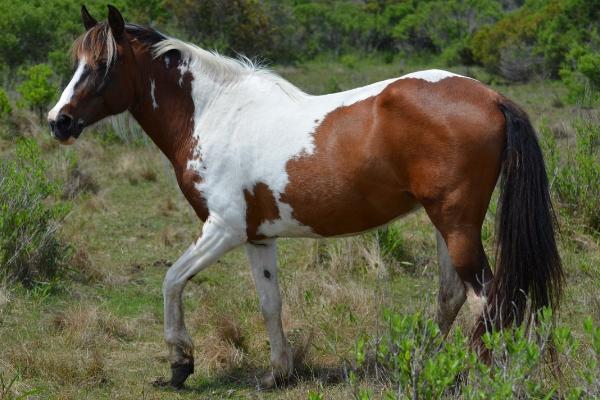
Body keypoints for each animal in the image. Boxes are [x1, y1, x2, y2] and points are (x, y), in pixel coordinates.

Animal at [48, 4, 564, 390]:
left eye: (102, 64)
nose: (59, 121)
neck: (216, 115)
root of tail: (492, 97)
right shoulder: (257, 237)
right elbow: (269, 302)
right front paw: (278, 373)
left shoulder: (223, 229)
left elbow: (172, 280)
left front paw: (180, 366)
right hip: (446, 222)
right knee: (454, 294)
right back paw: (426, 365)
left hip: (455, 223)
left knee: (488, 299)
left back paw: (475, 372)